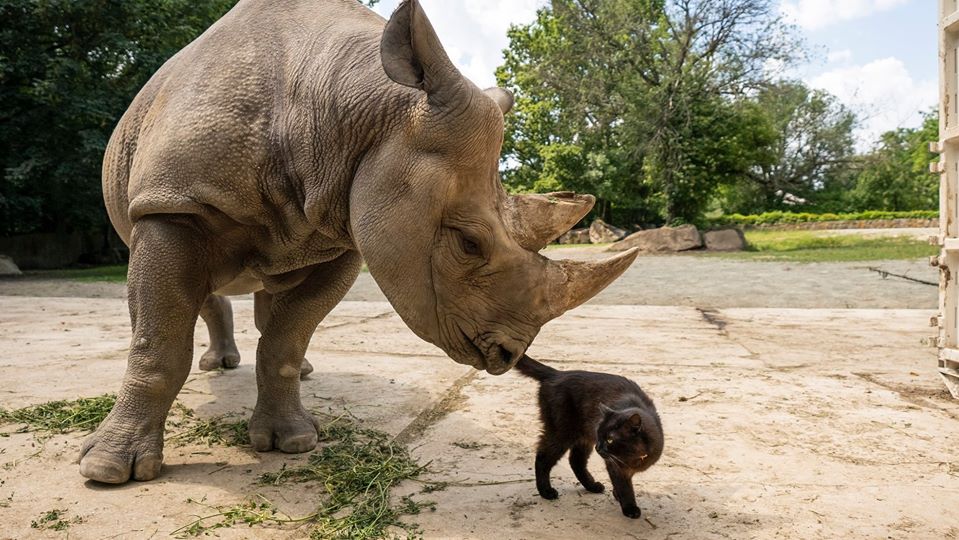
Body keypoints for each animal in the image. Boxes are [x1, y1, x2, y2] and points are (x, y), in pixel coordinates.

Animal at [512, 354, 664, 520]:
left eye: (609, 439)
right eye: (600, 435)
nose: (599, 447)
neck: (632, 458)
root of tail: (557, 373)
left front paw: (617, 495)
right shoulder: (615, 466)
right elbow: (624, 487)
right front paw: (630, 508)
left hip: (582, 438)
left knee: (576, 461)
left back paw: (592, 486)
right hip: (561, 433)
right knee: (542, 458)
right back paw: (546, 492)